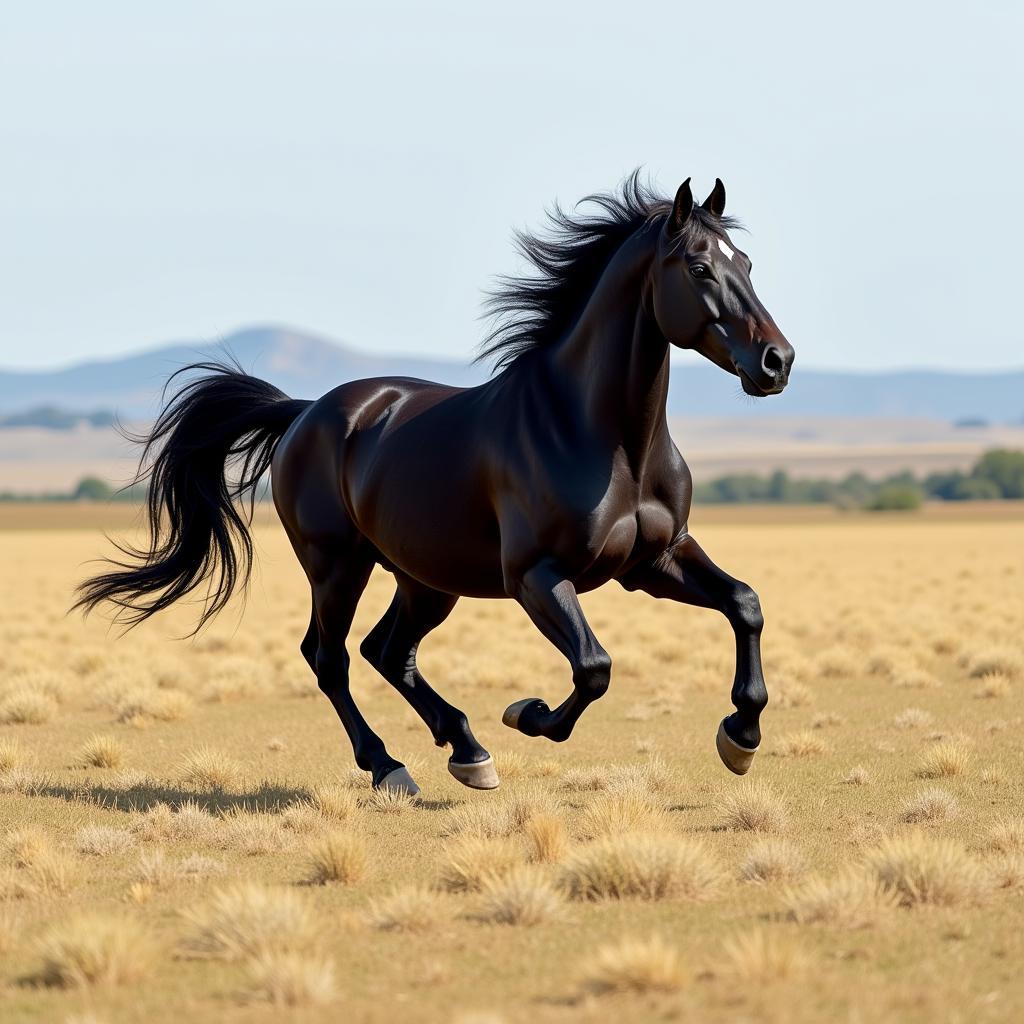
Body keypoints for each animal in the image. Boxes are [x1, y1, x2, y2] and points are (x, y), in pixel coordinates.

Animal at [77, 176, 790, 794]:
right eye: (699, 268)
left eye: (749, 264)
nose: (776, 362)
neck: (603, 437)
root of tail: (303, 412)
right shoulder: (535, 576)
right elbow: (593, 668)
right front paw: (526, 714)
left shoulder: (653, 561)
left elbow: (746, 604)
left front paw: (741, 737)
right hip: (337, 565)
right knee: (330, 657)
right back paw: (391, 766)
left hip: (424, 579)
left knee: (387, 652)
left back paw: (468, 751)